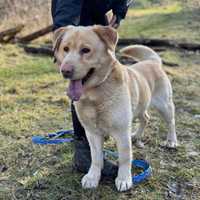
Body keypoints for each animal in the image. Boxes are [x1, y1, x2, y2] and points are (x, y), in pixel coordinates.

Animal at [52, 25, 177, 191]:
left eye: (85, 50)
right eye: (65, 49)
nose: (65, 71)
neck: (95, 96)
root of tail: (152, 62)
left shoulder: (122, 133)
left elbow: (124, 158)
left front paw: (124, 179)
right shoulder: (92, 133)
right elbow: (96, 158)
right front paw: (93, 177)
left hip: (164, 106)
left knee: (171, 122)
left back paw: (171, 141)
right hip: (139, 107)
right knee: (146, 118)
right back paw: (136, 135)